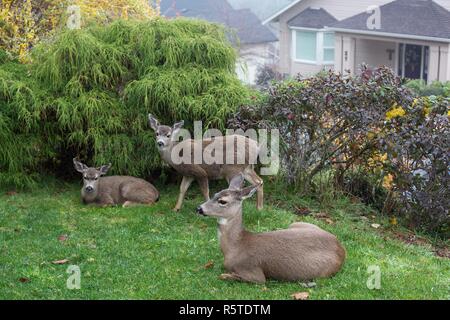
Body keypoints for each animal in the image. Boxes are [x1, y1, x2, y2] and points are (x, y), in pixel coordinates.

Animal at [195, 175, 346, 282]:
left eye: (222, 201)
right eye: (214, 194)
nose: (199, 208)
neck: (235, 247)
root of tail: (341, 248)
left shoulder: (254, 272)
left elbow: (225, 275)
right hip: (296, 224)